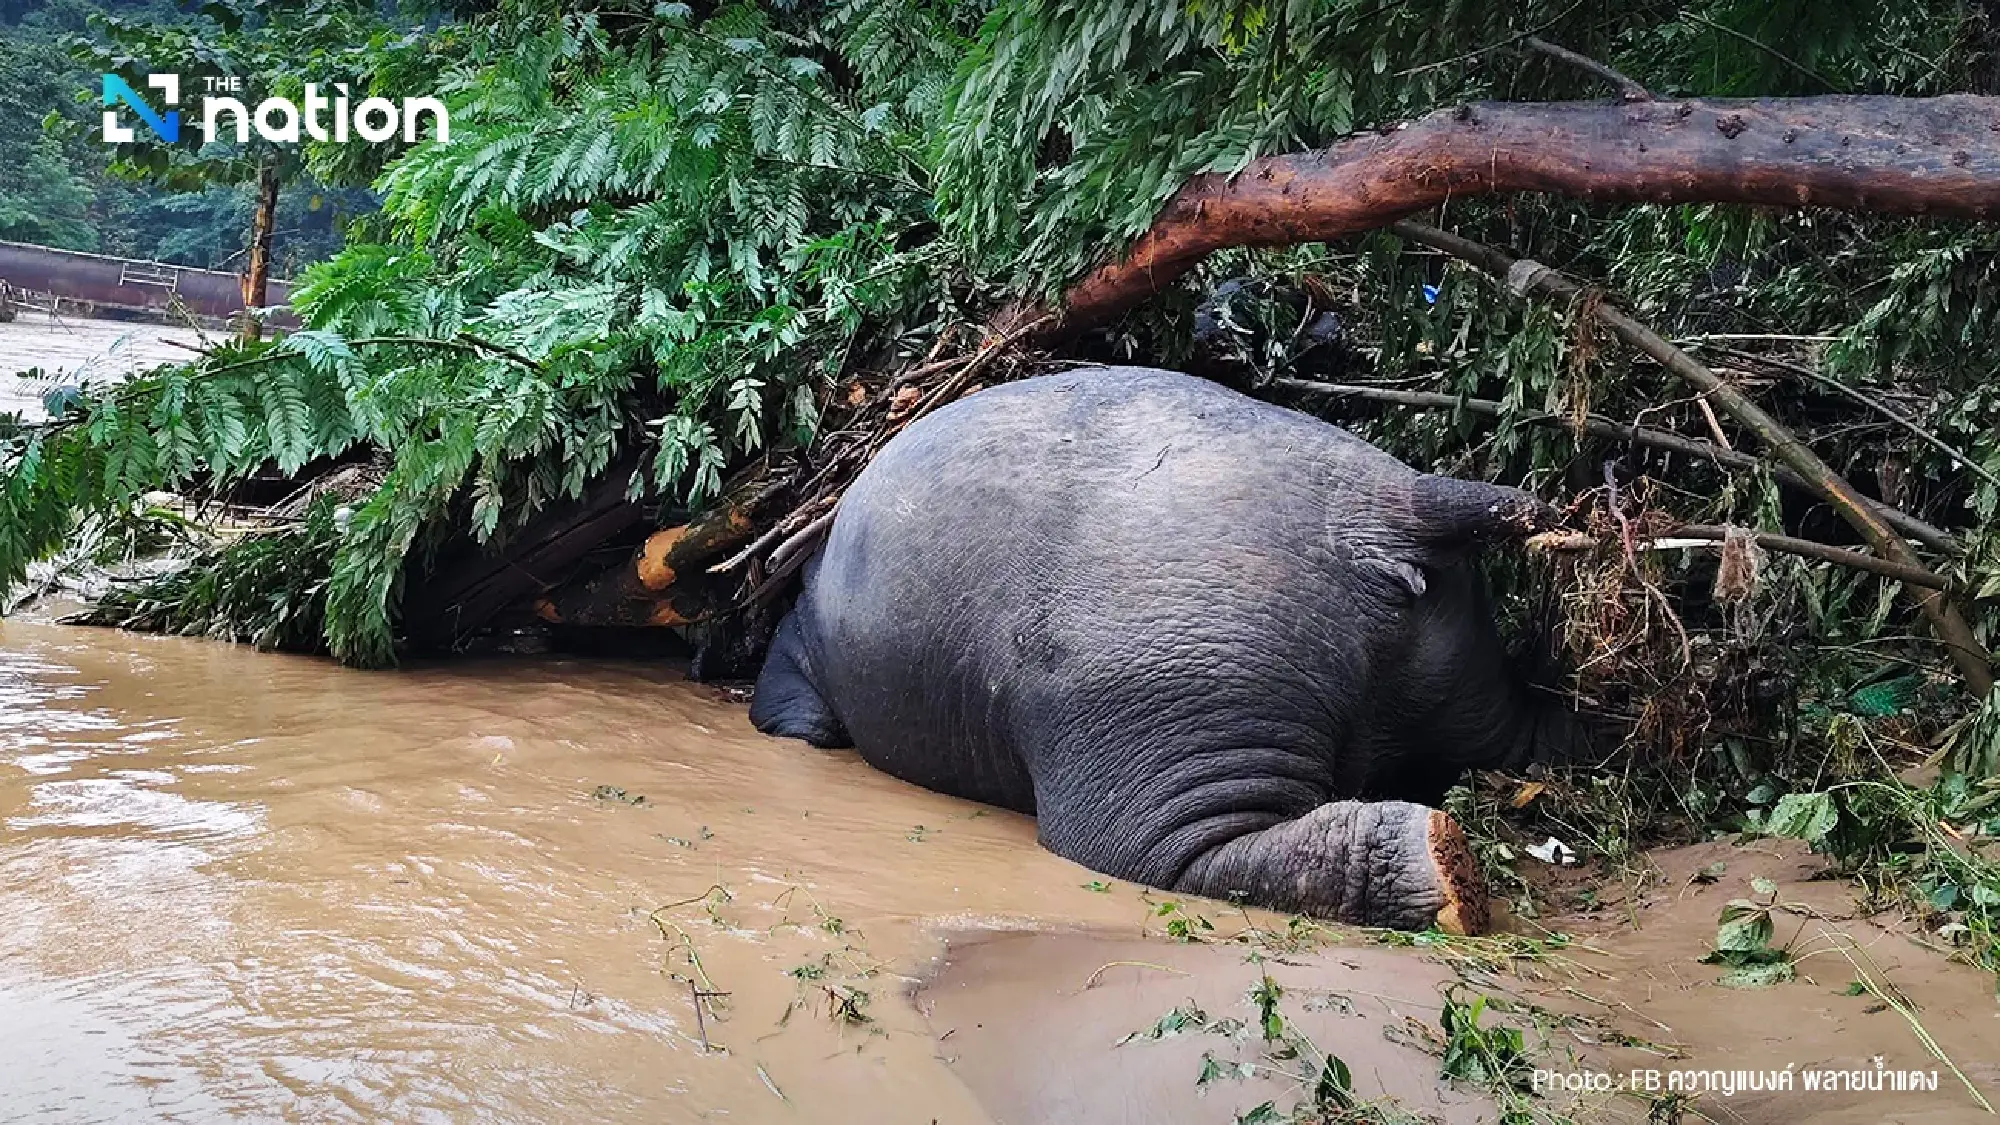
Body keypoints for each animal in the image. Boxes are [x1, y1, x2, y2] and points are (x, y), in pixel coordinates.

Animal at [750, 366, 1581, 932]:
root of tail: (1390, 506)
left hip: (1162, 728)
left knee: (1188, 854)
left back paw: (1444, 870)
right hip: (1462, 680)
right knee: (1519, 739)